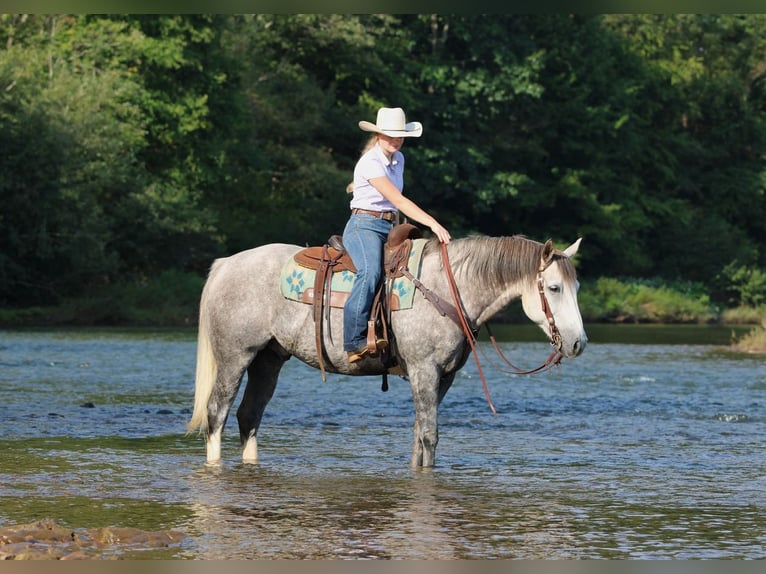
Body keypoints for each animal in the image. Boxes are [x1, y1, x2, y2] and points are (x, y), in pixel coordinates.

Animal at [187, 234, 587, 468]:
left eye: (576, 286)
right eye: (554, 288)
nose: (578, 342)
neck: (448, 288)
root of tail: (226, 265)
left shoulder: (443, 377)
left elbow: (419, 434)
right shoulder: (424, 369)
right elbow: (430, 435)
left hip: (268, 359)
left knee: (249, 416)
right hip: (236, 356)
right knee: (217, 413)